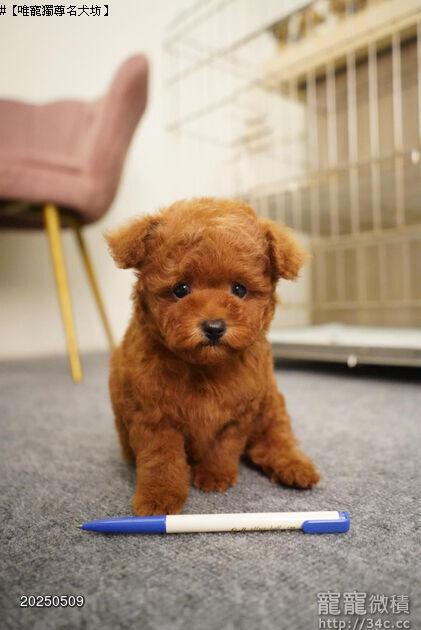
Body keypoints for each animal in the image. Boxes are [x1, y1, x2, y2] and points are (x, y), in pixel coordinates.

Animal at [106, 197, 320, 515]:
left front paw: (215, 476)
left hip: (270, 404)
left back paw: (295, 467)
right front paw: (159, 498)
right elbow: (161, 459)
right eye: (180, 289)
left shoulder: (239, 413)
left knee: (275, 438)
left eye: (239, 289)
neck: (203, 367)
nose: (214, 327)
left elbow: (224, 446)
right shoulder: (152, 415)